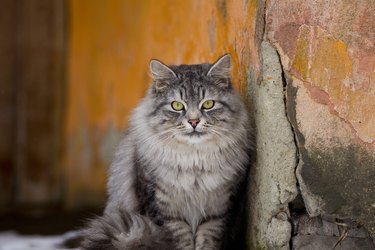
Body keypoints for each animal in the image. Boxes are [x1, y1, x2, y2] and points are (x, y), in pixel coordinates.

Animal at [82, 54, 253, 250]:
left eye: (208, 104)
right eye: (177, 105)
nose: (194, 122)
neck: (193, 160)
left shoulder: (218, 209)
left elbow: (207, 240)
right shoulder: (163, 207)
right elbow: (180, 239)